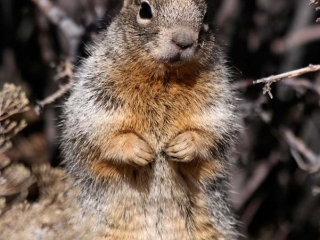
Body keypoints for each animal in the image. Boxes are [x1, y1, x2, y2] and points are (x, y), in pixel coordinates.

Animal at [60, 0, 240, 239]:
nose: (184, 41)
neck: (166, 78)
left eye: (206, 16)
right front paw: (137, 150)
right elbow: (100, 130)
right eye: (145, 9)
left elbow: (214, 130)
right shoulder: (96, 92)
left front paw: (185, 144)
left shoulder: (217, 97)